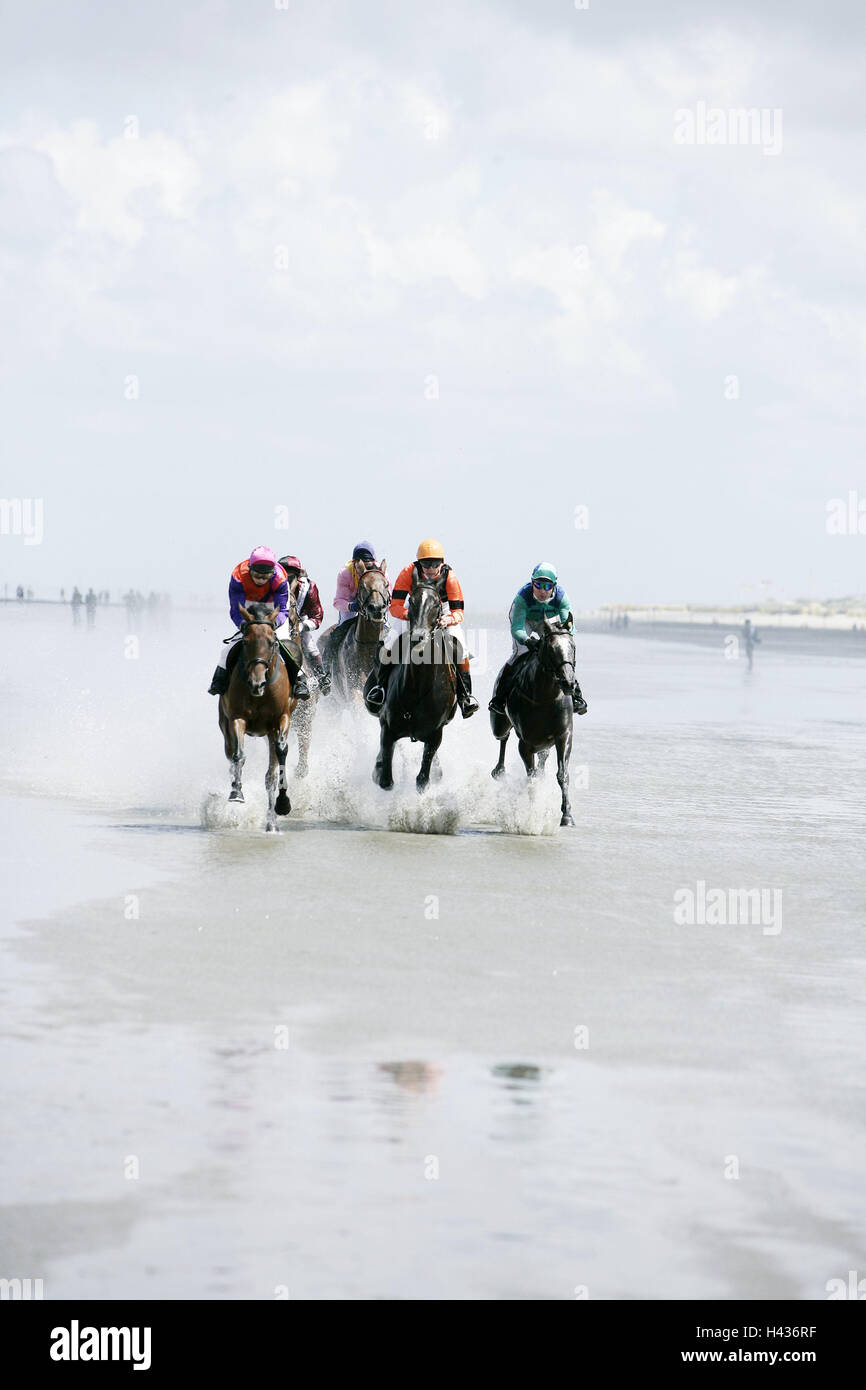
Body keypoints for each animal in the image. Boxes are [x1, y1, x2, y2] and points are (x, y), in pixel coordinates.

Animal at [216, 600, 297, 834]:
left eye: (271, 642)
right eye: (245, 641)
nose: (256, 683)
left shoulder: (282, 719)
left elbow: (281, 752)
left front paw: (283, 804)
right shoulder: (237, 718)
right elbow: (238, 755)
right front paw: (236, 792)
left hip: (269, 733)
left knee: (270, 775)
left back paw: (272, 822)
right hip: (224, 724)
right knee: (230, 754)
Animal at [366, 575, 461, 795]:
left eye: (436, 604)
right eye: (412, 601)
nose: (418, 636)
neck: (417, 685)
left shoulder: (435, 734)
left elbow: (422, 780)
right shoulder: (388, 727)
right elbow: (385, 781)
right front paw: (380, 769)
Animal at [492, 617, 578, 822]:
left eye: (573, 646)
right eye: (552, 649)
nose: (569, 683)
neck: (545, 696)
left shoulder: (564, 735)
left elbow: (562, 774)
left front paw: (567, 814)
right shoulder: (525, 743)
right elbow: (530, 777)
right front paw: (532, 812)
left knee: (543, 756)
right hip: (499, 724)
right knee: (503, 737)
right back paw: (499, 770)